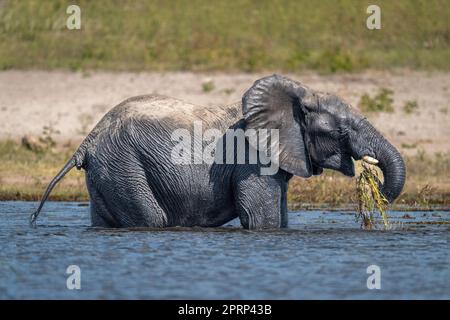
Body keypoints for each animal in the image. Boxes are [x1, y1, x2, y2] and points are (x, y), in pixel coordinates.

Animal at [29, 75, 406, 229]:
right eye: (341, 131)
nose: (376, 187)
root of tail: (88, 141)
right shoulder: (251, 161)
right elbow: (262, 218)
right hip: (124, 166)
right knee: (151, 219)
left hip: (107, 173)